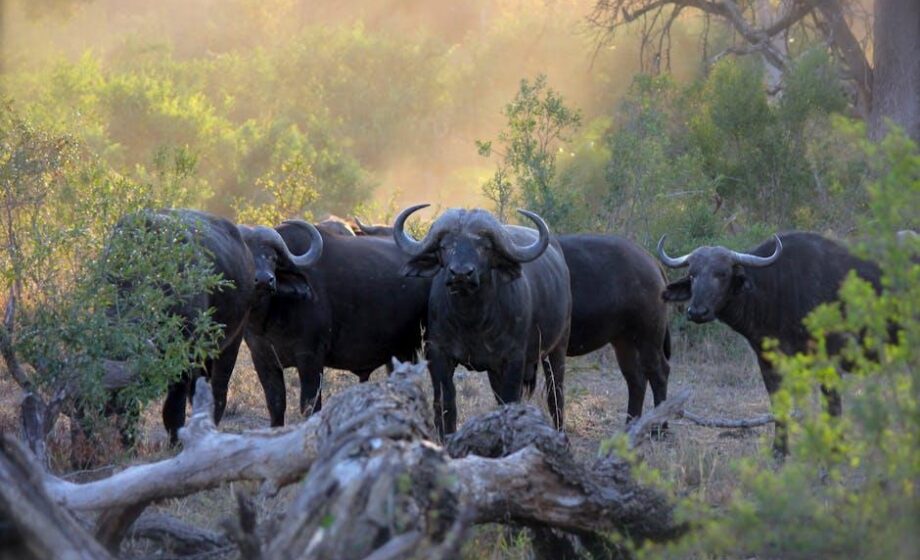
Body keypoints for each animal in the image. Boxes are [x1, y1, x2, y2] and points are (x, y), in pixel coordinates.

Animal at [244, 220, 430, 426]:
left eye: (273, 258)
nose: (265, 280)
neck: (269, 318)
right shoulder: (262, 359)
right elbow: (275, 406)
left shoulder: (310, 357)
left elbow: (310, 406)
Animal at [394, 205, 572, 437]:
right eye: (445, 246)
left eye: (484, 247)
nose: (461, 274)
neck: (472, 321)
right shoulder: (438, 354)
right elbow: (445, 405)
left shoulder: (514, 359)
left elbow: (510, 401)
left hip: (558, 347)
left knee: (555, 395)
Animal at [657, 231, 882, 454]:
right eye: (692, 275)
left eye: (721, 274)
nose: (697, 312)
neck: (779, 288)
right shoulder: (767, 362)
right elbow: (778, 403)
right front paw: (779, 450)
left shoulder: (830, 360)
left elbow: (832, 405)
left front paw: (836, 448)